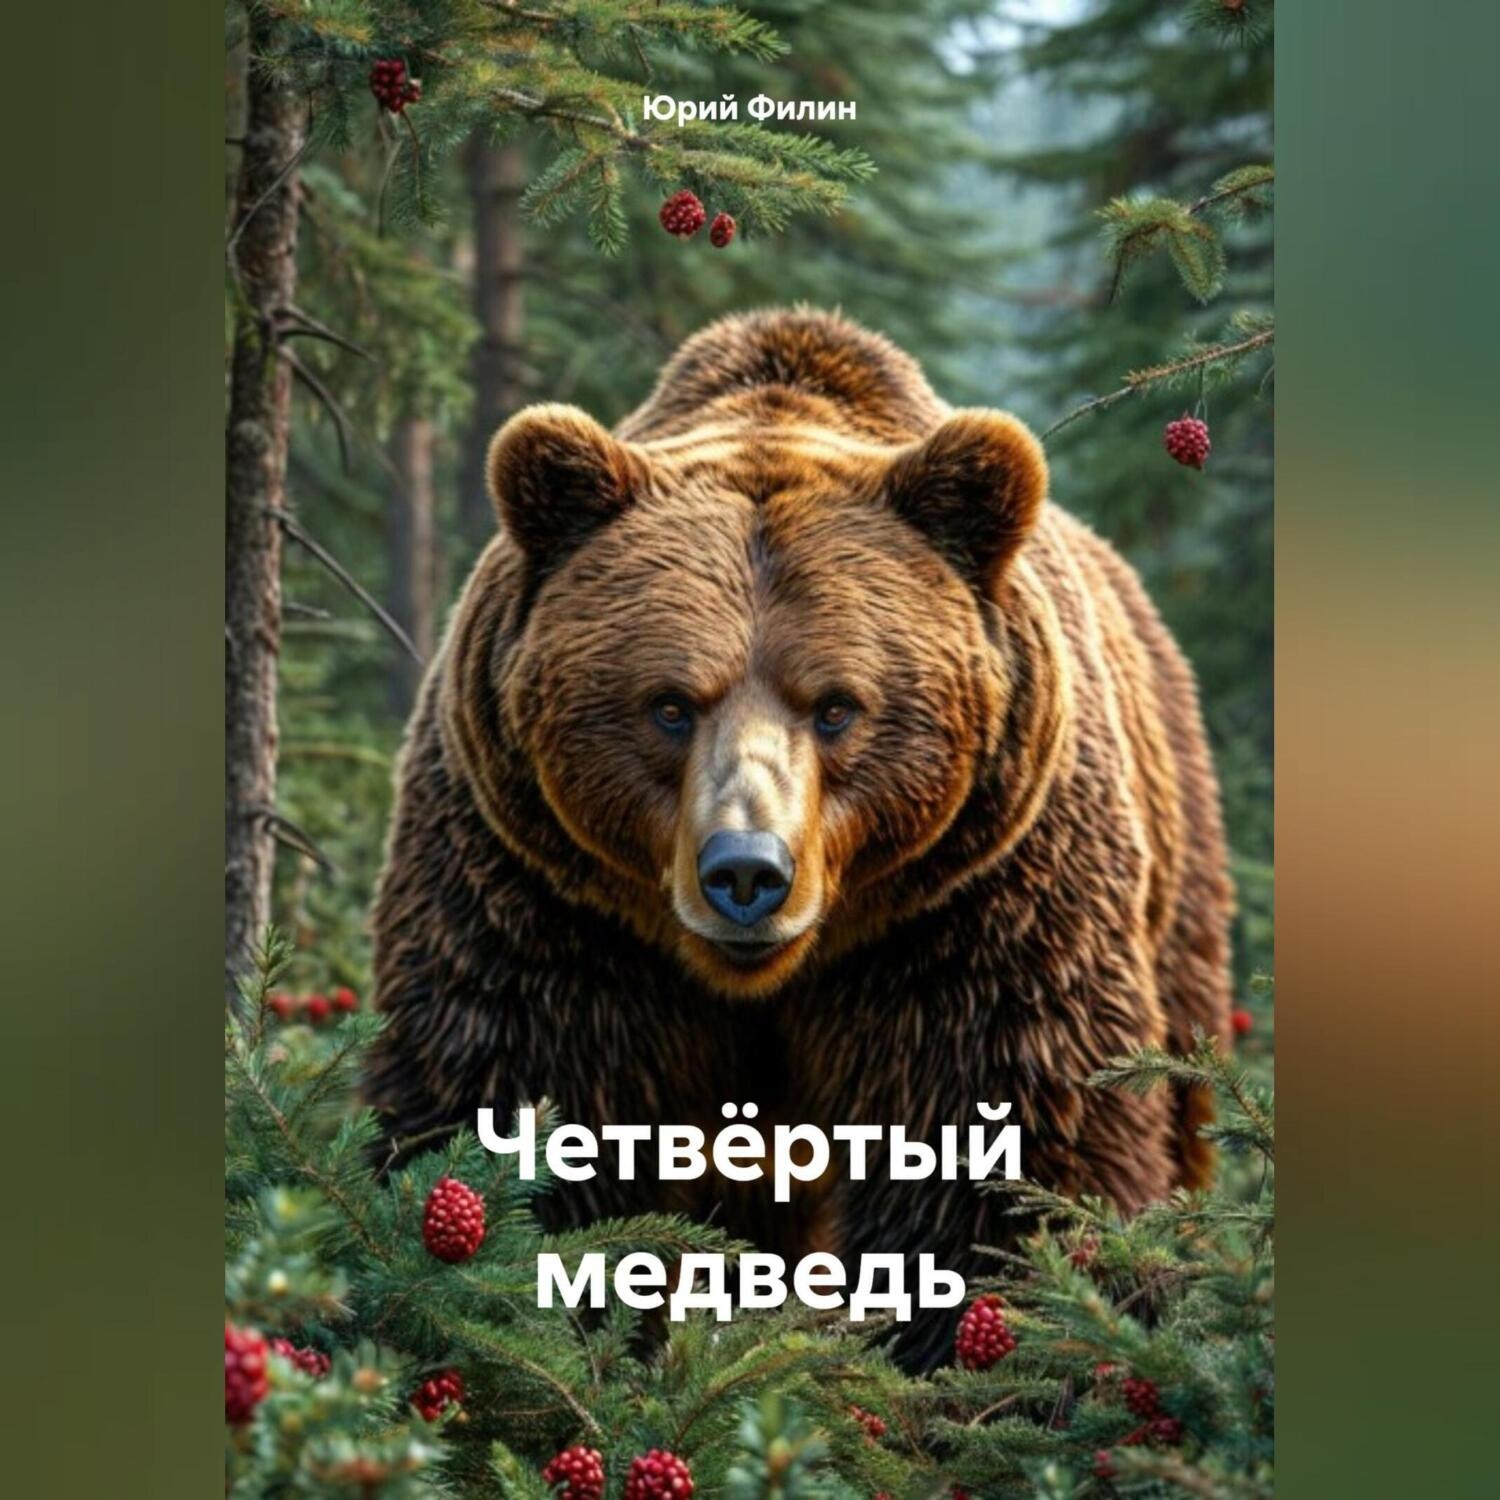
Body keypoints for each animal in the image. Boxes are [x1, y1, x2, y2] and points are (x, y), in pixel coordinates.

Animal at [365, 307, 1233, 1369]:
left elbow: (1005, 1149)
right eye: (668, 704)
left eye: (837, 706)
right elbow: (515, 1110)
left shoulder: (972, 906)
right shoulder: (543, 899)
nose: (746, 872)